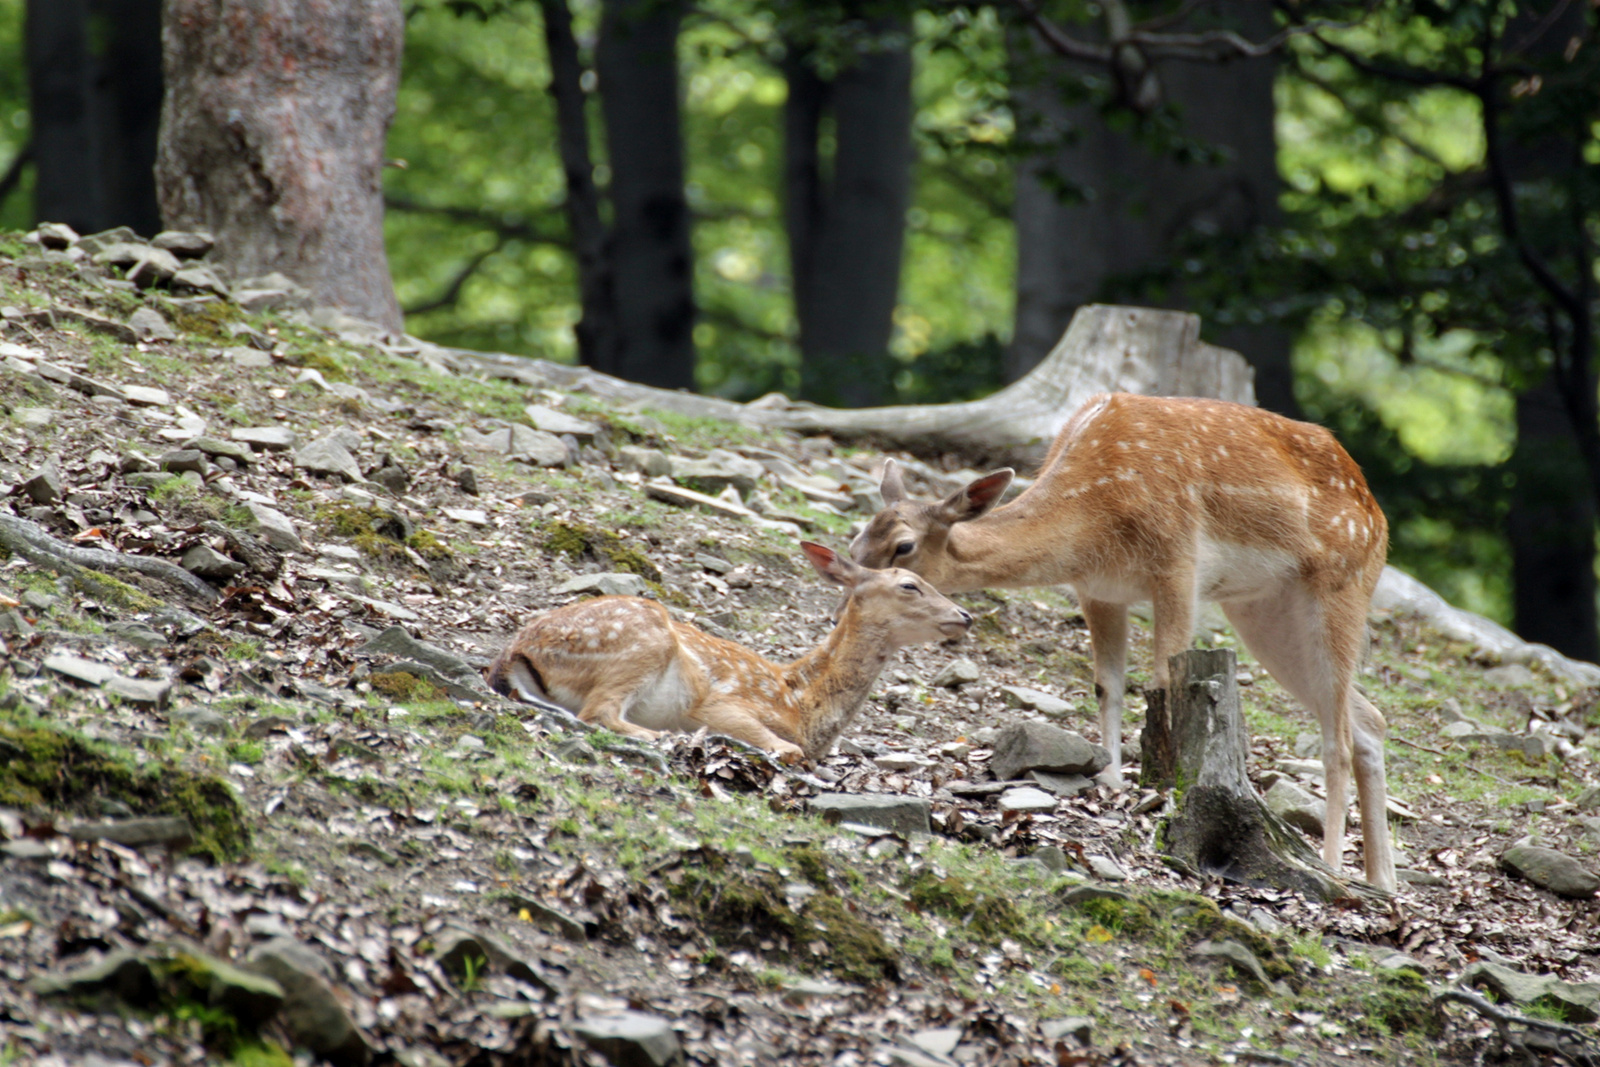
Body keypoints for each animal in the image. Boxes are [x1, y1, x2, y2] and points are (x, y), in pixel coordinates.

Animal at [483, 547, 972, 764]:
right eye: (910, 585)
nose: (964, 616)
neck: (802, 701)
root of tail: (514, 653)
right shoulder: (724, 703)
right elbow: (787, 748)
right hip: (643, 641)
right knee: (597, 712)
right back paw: (665, 737)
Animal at [857, 391, 1395, 895]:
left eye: (903, 547)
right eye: (857, 541)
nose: (855, 594)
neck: (1092, 526)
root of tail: (1377, 513)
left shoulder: (1178, 563)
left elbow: (1162, 682)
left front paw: (1164, 788)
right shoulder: (1097, 590)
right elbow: (1107, 687)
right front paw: (1113, 781)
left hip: (1341, 583)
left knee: (1339, 739)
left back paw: (1332, 866)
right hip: (1262, 609)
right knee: (1369, 719)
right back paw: (1382, 881)